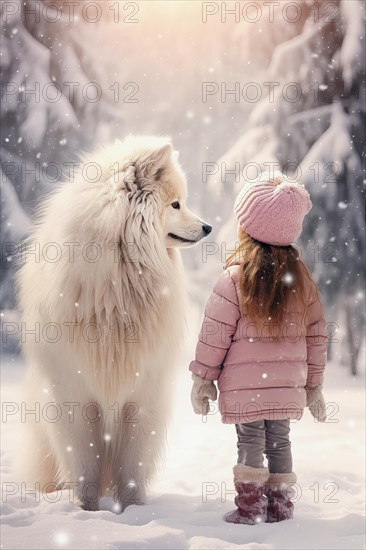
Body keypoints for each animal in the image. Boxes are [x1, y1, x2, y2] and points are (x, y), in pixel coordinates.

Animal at [17, 137, 212, 512]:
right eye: (176, 204)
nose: (208, 227)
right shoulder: (75, 394)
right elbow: (84, 465)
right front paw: (87, 510)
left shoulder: (143, 392)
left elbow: (133, 463)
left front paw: (135, 510)